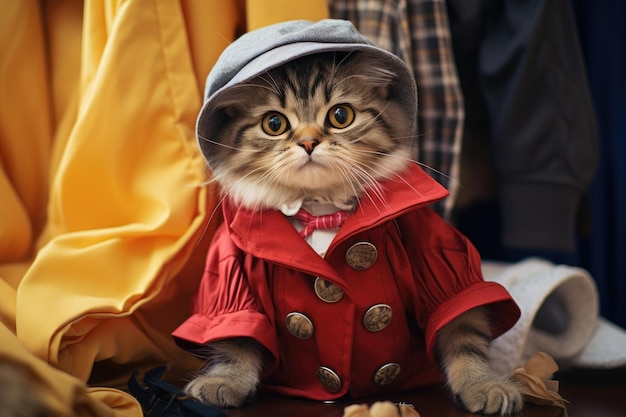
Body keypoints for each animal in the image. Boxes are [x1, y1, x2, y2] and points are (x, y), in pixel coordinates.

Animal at [180, 51, 520, 412]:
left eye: (340, 116)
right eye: (274, 124)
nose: (308, 142)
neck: (321, 211)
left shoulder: (441, 264)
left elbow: (464, 335)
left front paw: (483, 385)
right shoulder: (230, 279)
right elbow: (234, 340)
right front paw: (224, 382)